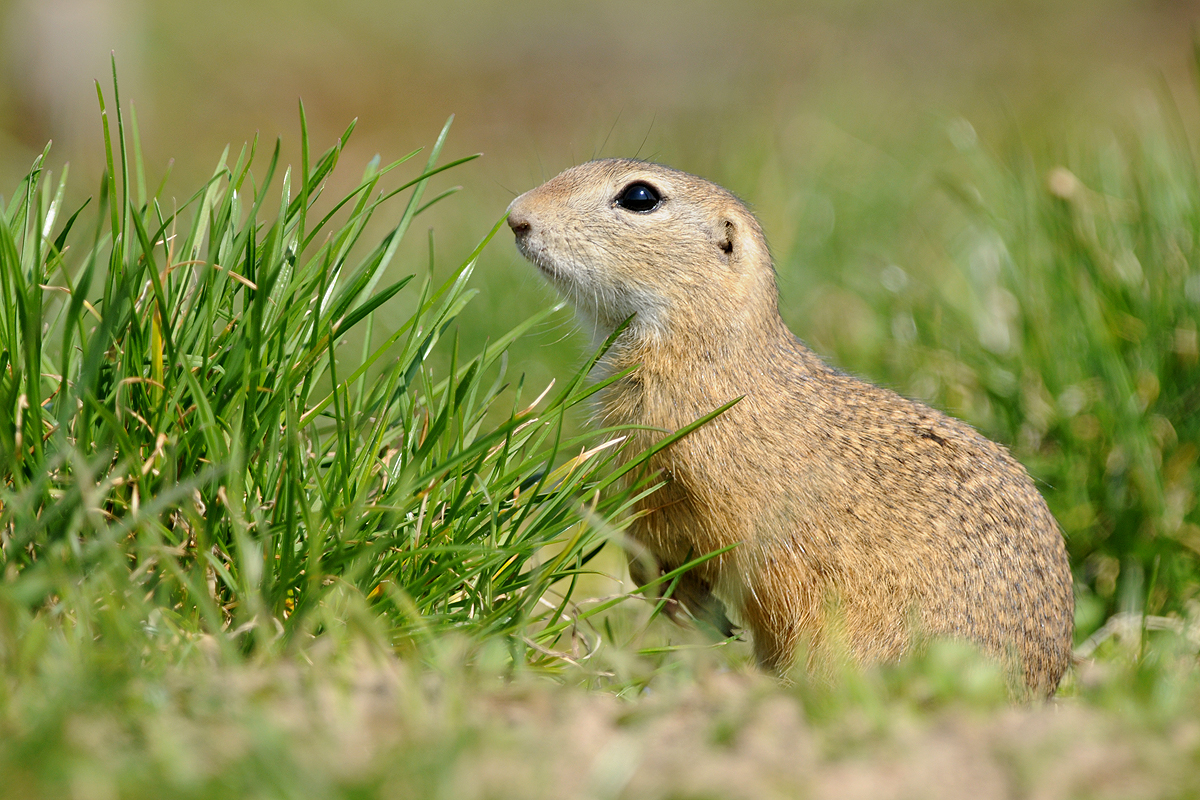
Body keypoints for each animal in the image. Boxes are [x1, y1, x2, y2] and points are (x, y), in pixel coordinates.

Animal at [501, 158, 1075, 695]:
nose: (515, 216)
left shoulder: (687, 476)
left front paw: (681, 602)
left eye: (640, 196)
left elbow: (674, 539)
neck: (708, 352)